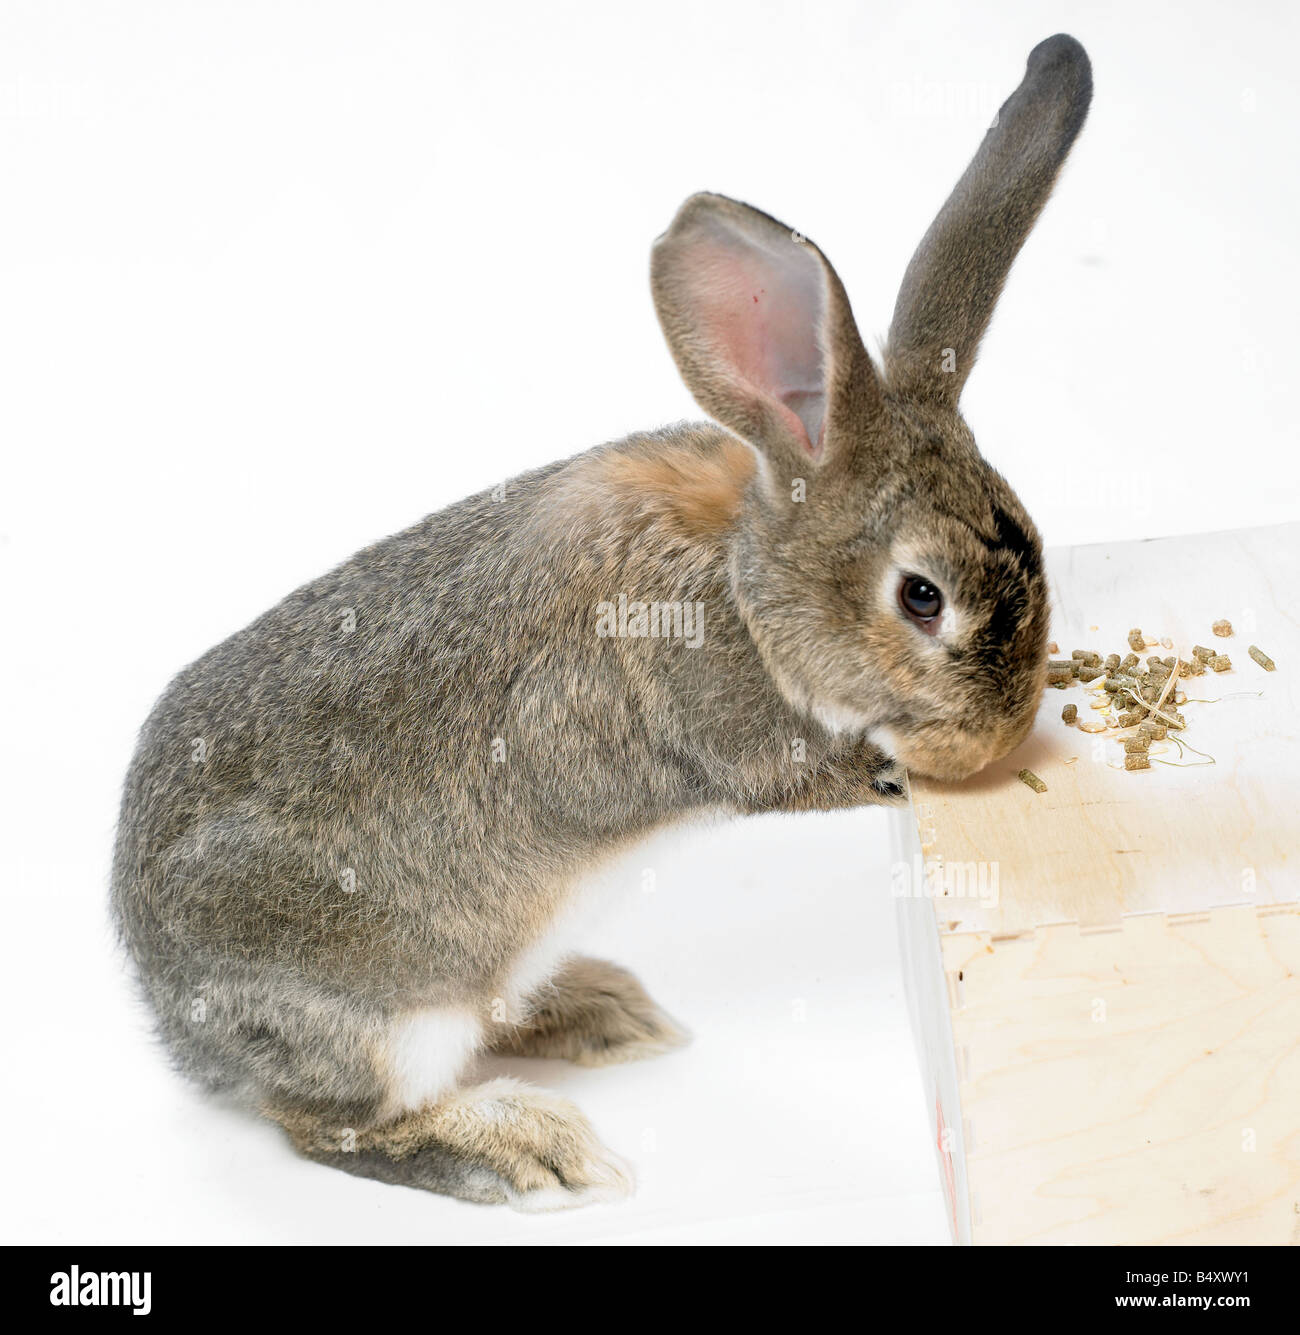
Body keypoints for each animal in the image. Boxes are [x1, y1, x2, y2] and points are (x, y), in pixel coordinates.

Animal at [109, 36, 1089, 1217]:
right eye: (921, 597)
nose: (997, 739)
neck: (742, 581)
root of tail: (170, 1016)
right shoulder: (708, 719)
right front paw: (898, 769)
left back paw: (600, 1013)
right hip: (381, 1017)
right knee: (331, 1123)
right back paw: (527, 1149)